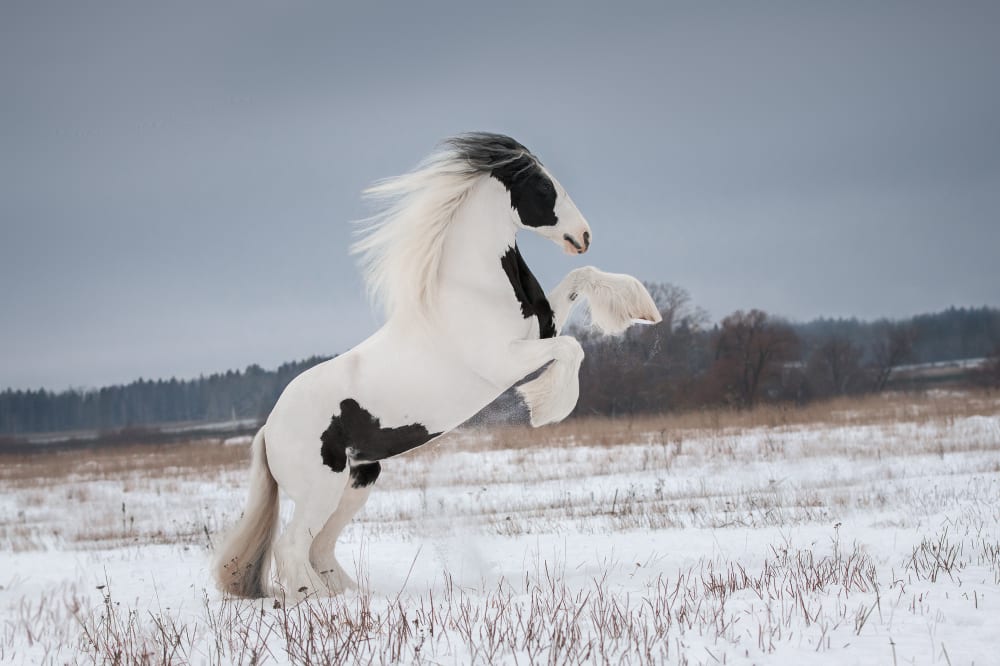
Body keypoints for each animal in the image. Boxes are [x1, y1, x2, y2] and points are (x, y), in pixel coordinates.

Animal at [212, 134, 664, 596]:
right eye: (541, 185)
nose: (584, 235)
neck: (477, 289)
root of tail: (268, 430)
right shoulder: (506, 360)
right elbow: (573, 349)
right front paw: (545, 408)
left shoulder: (542, 326)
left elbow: (581, 277)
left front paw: (642, 308)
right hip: (320, 487)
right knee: (292, 548)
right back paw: (319, 602)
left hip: (358, 479)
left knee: (319, 549)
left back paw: (352, 596)